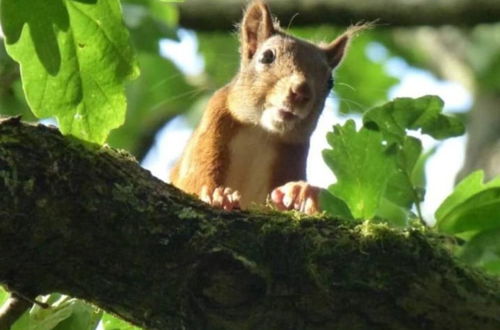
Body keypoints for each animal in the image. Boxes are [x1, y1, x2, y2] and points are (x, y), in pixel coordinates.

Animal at [170, 1, 358, 215]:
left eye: (330, 82)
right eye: (267, 56)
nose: (301, 91)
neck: (260, 133)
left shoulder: (292, 156)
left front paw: (303, 192)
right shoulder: (210, 129)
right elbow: (191, 181)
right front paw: (216, 194)